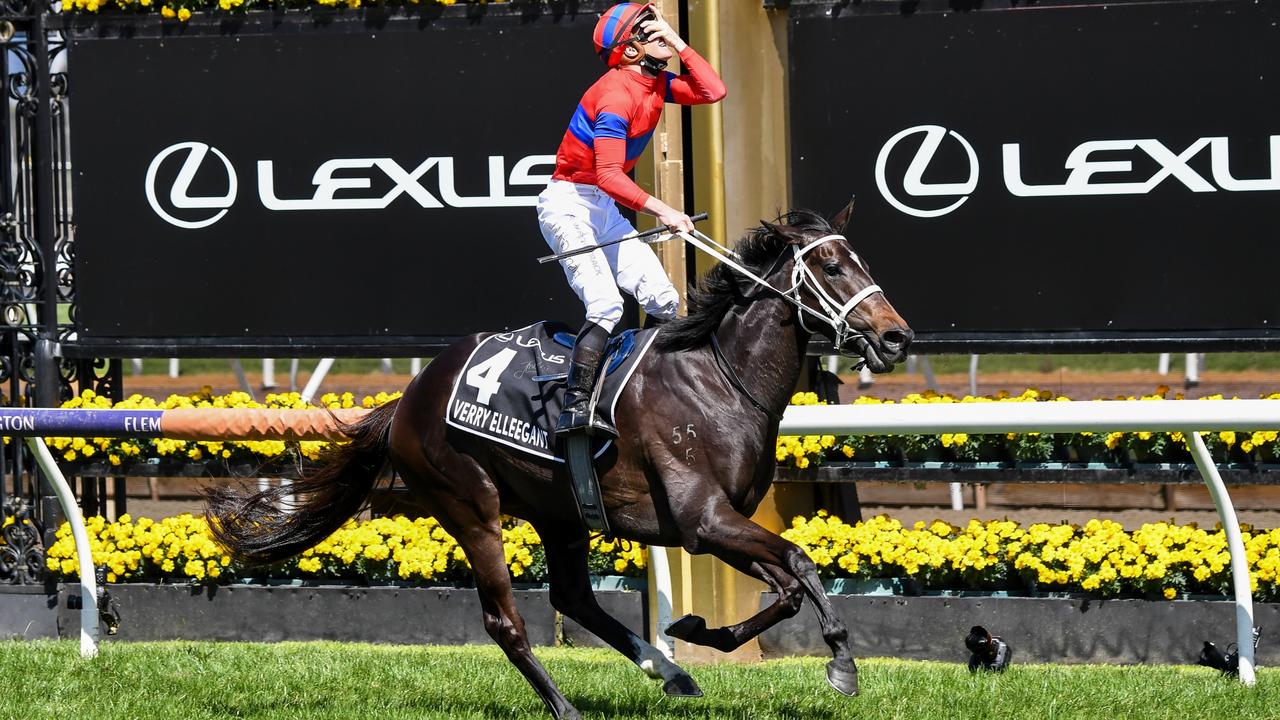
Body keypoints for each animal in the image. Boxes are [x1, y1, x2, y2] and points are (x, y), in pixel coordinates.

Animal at [207, 198, 911, 712]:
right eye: (833, 269)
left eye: (860, 261)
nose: (897, 337)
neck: (718, 377)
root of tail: (408, 397)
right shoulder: (702, 519)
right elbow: (799, 562)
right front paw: (842, 663)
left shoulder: (715, 523)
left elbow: (789, 585)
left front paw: (697, 634)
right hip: (470, 506)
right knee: (505, 621)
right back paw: (565, 706)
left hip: (561, 512)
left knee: (574, 596)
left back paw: (667, 671)